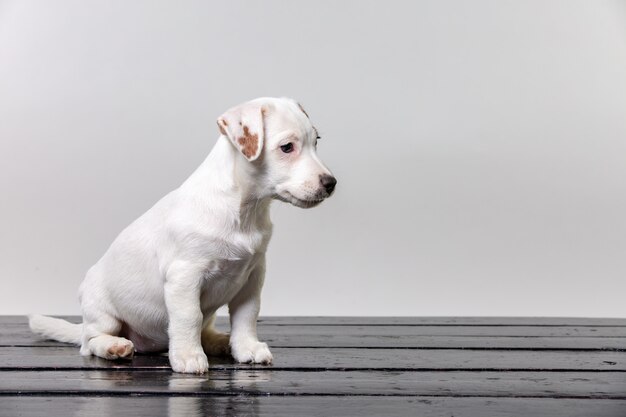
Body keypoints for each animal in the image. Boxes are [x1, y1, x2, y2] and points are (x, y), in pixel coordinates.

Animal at [28, 97, 336, 374]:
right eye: (287, 147)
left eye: (316, 141)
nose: (331, 183)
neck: (244, 210)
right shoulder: (185, 276)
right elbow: (189, 317)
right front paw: (188, 357)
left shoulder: (253, 276)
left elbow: (246, 315)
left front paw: (246, 347)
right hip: (102, 314)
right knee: (89, 341)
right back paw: (114, 346)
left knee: (205, 328)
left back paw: (217, 341)